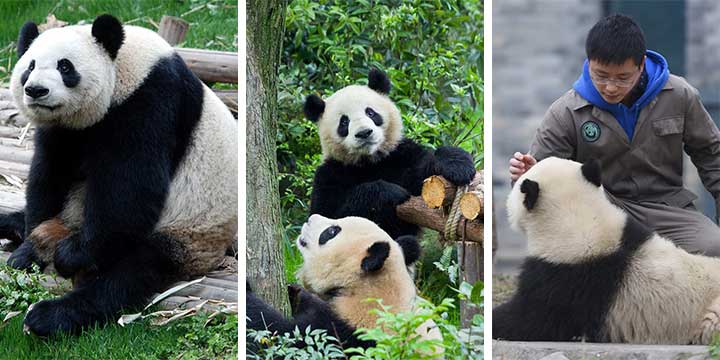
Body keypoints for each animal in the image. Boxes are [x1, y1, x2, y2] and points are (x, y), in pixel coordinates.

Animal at [0, 14, 239, 334]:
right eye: (30, 66)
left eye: (65, 67)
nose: (36, 90)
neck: (124, 67)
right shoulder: (63, 131)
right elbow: (49, 172)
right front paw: (30, 245)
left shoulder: (150, 101)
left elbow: (130, 188)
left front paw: (70, 254)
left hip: (188, 233)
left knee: (126, 274)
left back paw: (48, 316)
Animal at [304, 69, 478, 240]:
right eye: (344, 122)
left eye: (370, 113)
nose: (364, 133)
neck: (369, 161)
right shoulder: (330, 173)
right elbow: (328, 216)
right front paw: (390, 192)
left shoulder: (398, 156)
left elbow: (421, 172)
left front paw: (458, 166)